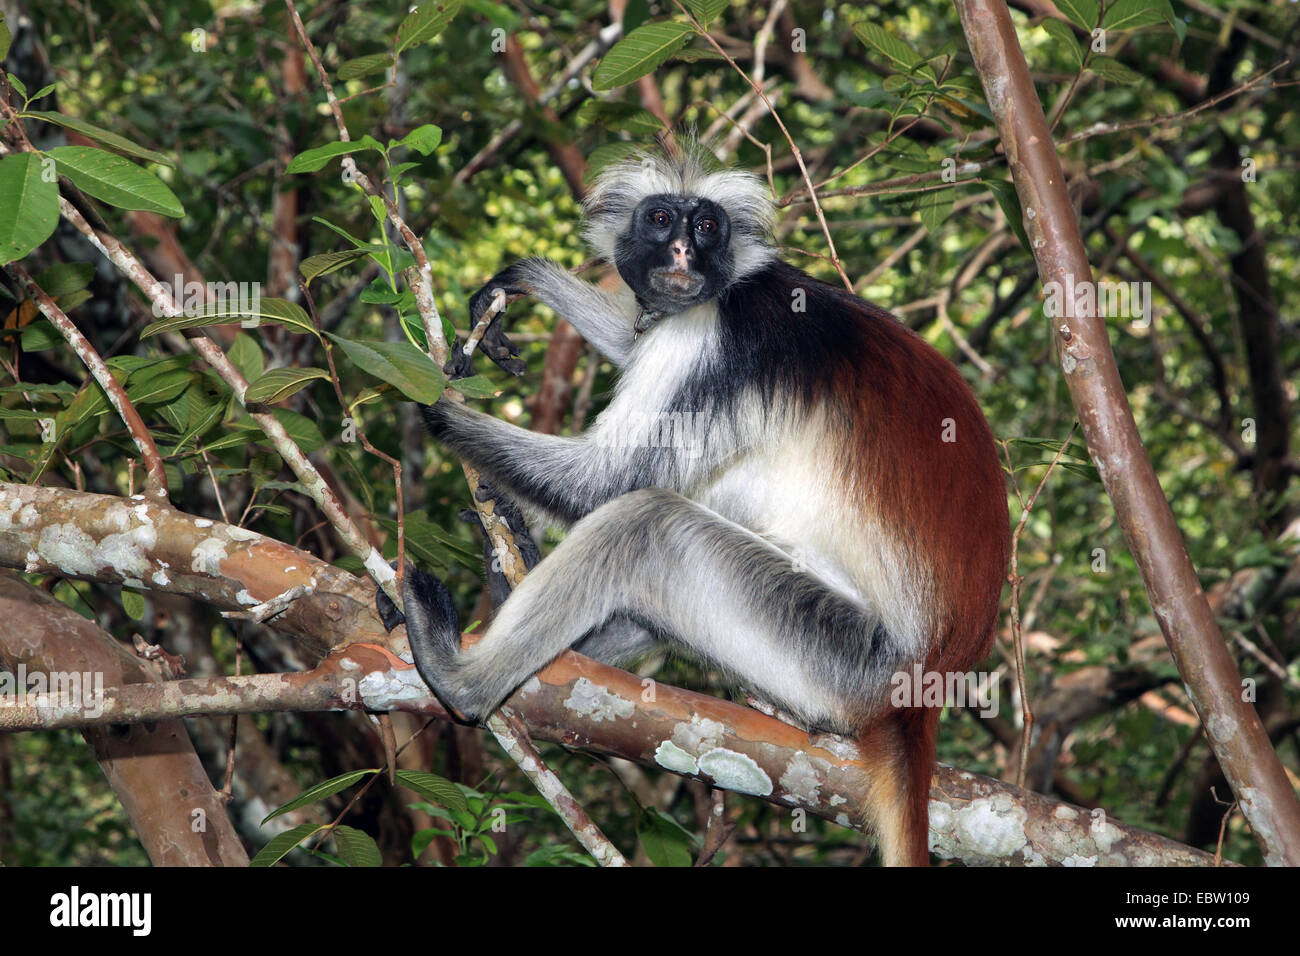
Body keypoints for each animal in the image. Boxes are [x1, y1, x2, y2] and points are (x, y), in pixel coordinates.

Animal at [379, 143, 1008, 868]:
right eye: (661, 220)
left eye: (706, 228)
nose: (682, 250)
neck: (732, 287)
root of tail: (924, 689)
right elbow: (634, 345)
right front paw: (529, 279)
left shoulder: (715, 337)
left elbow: (607, 483)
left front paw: (433, 407)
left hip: (842, 657)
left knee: (647, 521)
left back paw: (461, 677)